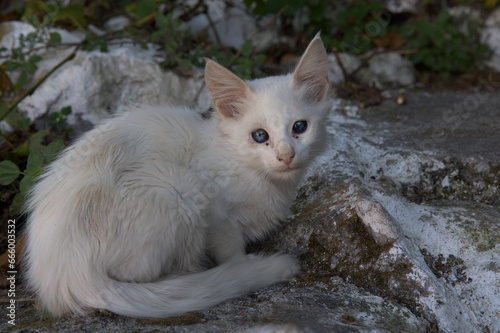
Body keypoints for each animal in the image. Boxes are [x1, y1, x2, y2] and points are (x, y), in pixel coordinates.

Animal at [23, 35, 330, 318]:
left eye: (299, 127)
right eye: (259, 136)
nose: (286, 155)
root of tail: (70, 276)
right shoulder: (218, 217)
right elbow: (232, 252)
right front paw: (243, 266)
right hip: (178, 189)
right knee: (142, 275)